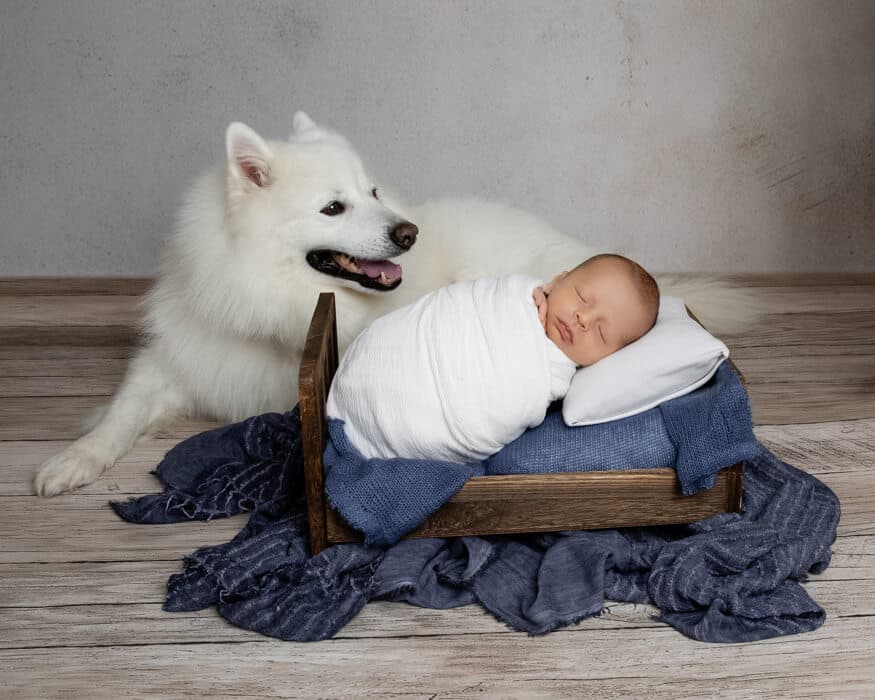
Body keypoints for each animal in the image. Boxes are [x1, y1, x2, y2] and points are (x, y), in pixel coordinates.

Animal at [34, 112, 756, 494]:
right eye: (334, 207)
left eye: (373, 190)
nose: (408, 233)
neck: (264, 298)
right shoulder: (174, 360)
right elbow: (119, 413)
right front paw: (73, 460)